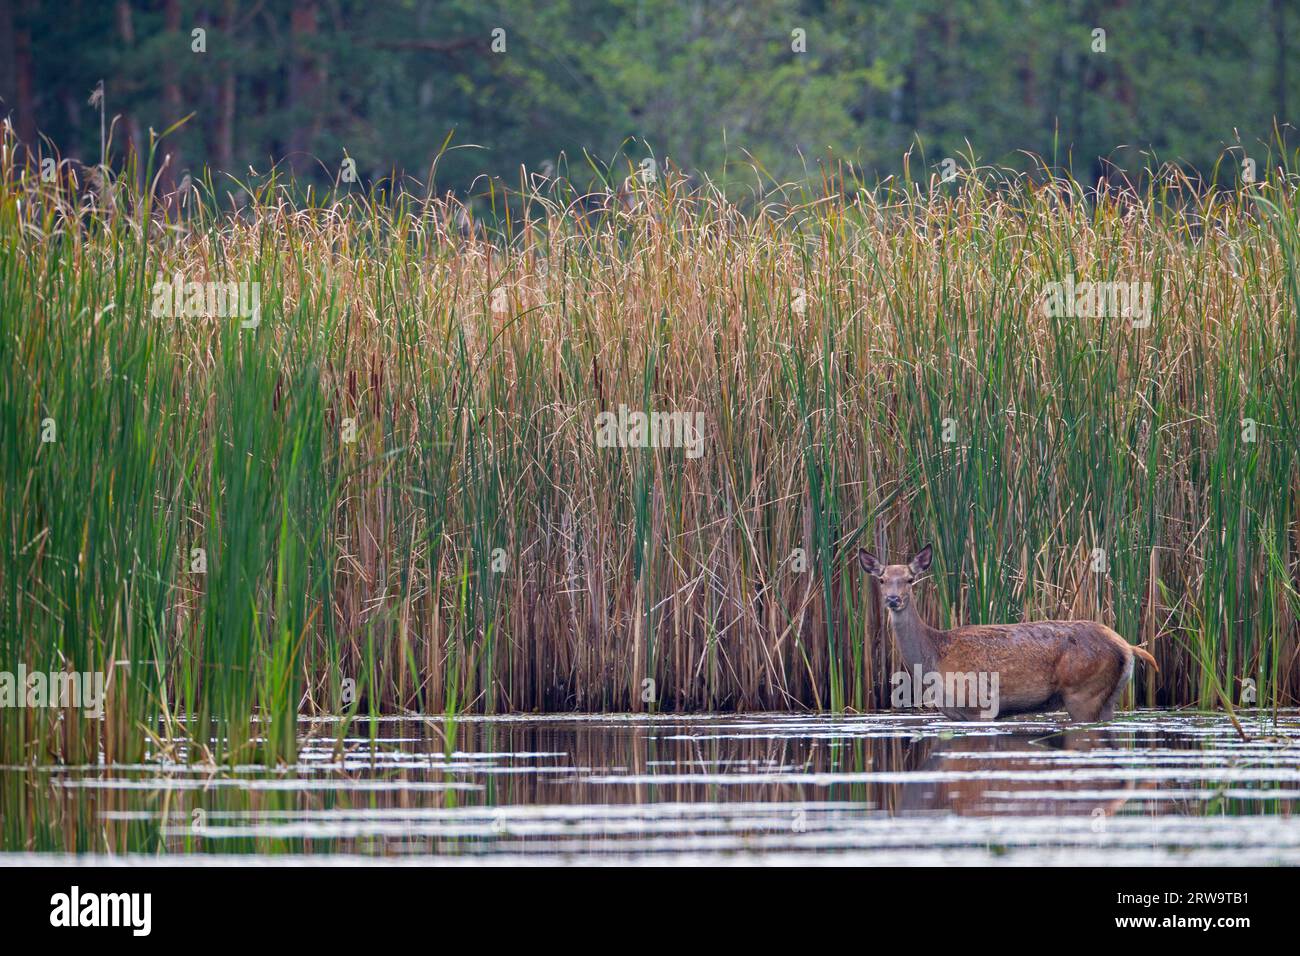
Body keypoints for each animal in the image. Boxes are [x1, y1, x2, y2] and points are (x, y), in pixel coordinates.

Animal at [858, 545, 1158, 722]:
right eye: (882, 579)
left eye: (910, 579)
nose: (893, 599)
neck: (934, 656)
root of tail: (1128, 646)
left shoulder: (978, 705)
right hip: (1110, 697)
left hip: (1084, 693)